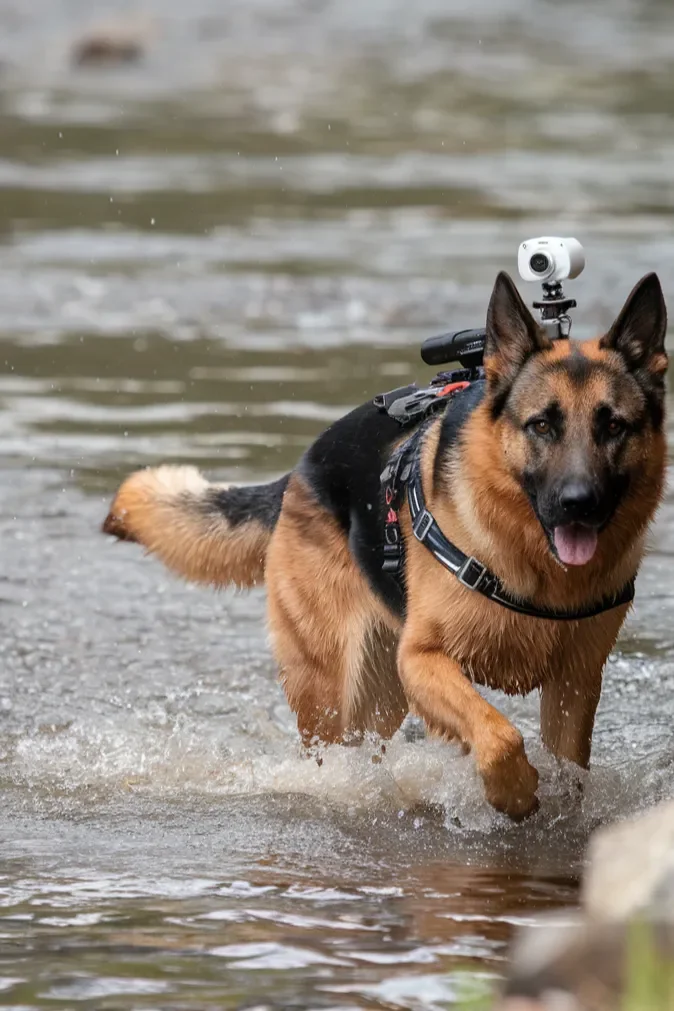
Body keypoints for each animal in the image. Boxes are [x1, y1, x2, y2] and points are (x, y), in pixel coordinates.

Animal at [103, 270, 666, 820]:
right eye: (542, 425)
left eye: (613, 426)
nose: (579, 503)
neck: (536, 568)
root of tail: (302, 467)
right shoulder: (421, 658)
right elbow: (500, 734)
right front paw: (515, 792)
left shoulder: (575, 683)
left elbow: (562, 762)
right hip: (334, 694)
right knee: (332, 756)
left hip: (379, 697)